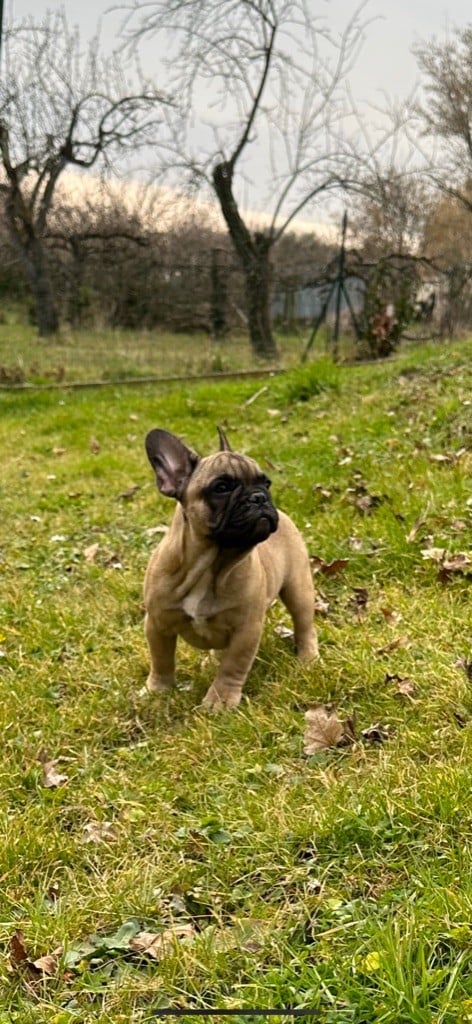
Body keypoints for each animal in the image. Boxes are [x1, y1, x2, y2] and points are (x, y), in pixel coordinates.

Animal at [143, 428, 317, 708]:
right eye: (221, 487)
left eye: (266, 483)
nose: (260, 497)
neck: (211, 563)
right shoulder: (157, 622)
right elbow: (161, 660)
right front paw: (158, 690)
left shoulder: (247, 630)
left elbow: (232, 667)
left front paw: (220, 701)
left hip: (298, 589)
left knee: (304, 626)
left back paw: (308, 657)